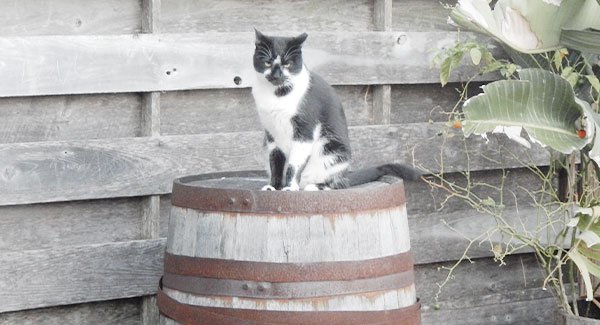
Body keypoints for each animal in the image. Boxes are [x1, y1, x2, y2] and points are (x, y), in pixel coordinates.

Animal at [251, 30, 420, 190]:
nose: (276, 75)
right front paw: (274, 187)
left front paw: (290, 187)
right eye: (267, 62)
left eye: (287, 64)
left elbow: (294, 164)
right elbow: (276, 162)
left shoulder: (305, 130)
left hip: (333, 152)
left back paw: (315, 186)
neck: (277, 95)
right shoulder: (271, 134)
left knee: (336, 183)